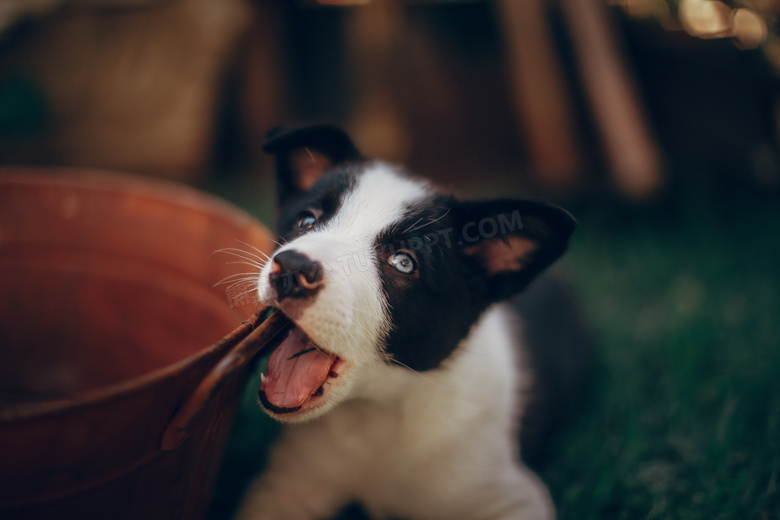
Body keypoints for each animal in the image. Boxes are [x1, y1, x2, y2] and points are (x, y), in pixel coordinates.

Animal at [238, 125, 580, 520]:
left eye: (404, 262)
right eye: (306, 221)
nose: (292, 269)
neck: (379, 411)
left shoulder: (512, 495)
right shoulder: (284, 486)